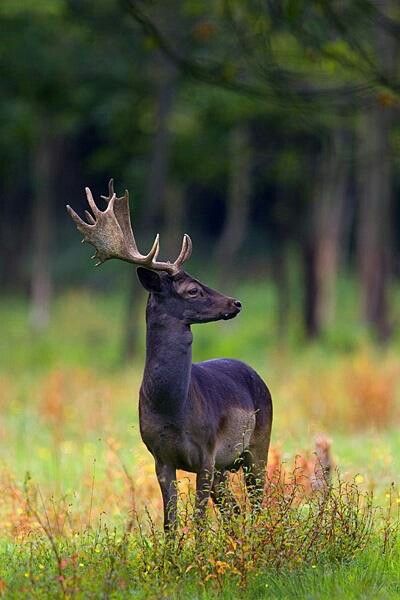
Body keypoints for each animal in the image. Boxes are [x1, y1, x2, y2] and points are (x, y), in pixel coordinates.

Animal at [67, 179, 274, 528]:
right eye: (192, 290)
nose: (235, 302)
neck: (173, 408)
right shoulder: (160, 457)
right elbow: (171, 522)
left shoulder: (207, 453)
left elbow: (200, 521)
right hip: (228, 464)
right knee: (234, 510)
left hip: (259, 443)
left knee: (258, 504)